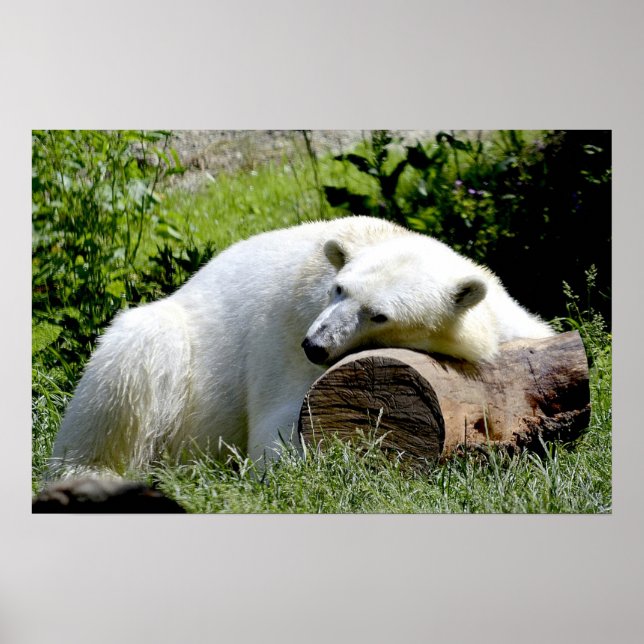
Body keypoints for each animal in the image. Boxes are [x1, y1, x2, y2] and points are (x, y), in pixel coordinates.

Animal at [49, 216, 554, 477]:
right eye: (339, 289)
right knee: (139, 352)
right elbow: (278, 428)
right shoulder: (287, 331)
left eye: (380, 315)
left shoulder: (508, 321)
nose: (315, 345)